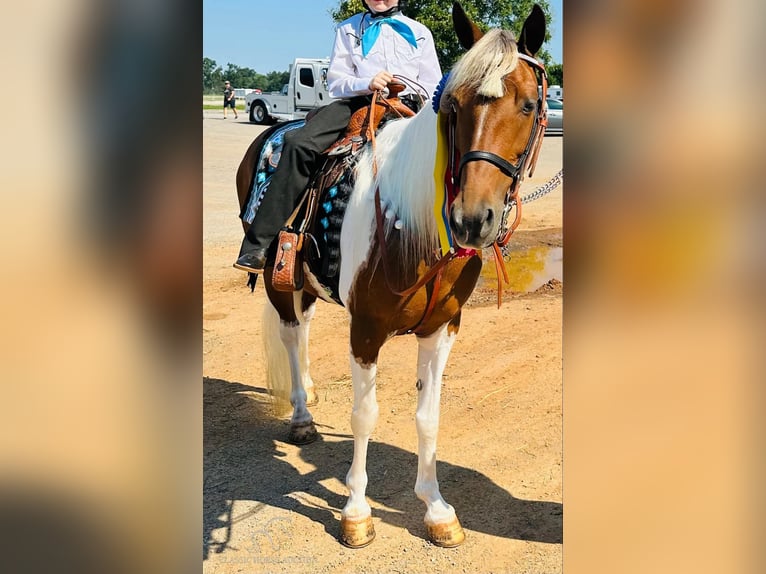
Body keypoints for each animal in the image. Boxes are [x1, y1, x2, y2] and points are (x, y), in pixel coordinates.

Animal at [237, 2, 548, 552]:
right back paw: (301, 415)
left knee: (305, 329)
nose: (473, 220)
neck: (412, 226)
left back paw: (308, 390)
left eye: (530, 105)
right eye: (454, 107)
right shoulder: (366, 330)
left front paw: (437, 510)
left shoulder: (442, 328)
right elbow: (365, 416)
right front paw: (356, 512)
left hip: (308, 284)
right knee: (291, 335)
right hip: (278, 279)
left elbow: (428, 416)